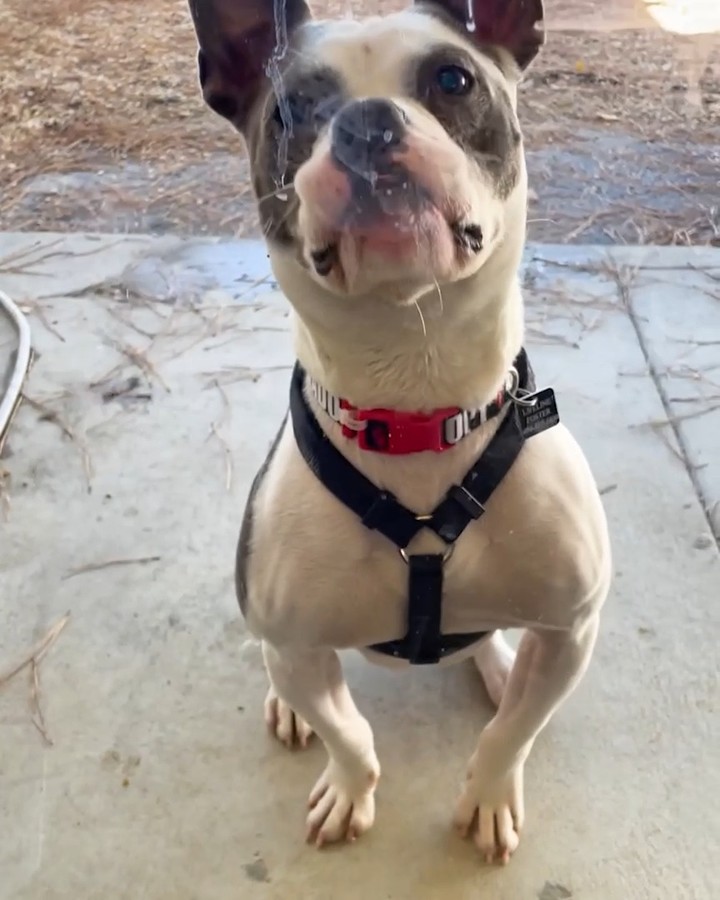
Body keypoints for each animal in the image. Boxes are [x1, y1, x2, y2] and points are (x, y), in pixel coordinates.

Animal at [188, 0, 612, 864]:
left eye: (452, 78)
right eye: (290, 110)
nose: (368, 123)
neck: (415, 403)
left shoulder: (572, 632)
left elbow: (512, 734)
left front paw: (487, 798)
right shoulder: (297, 645)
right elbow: (349, 735)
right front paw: (348, 791)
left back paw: (496, 663)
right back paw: (285, 708)